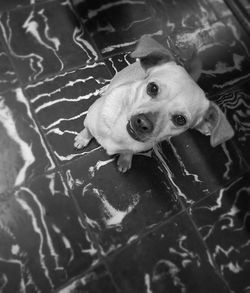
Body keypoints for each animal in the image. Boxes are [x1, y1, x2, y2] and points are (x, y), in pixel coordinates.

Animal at [74, 34, 234, 171]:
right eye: (152, 88)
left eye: (180, 120)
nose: (143, 123)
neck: (122, 134)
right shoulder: (89, 120)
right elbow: (87, 130)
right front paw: (82, 138)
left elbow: (127, 152)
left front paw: (125, 159)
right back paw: (105, 88)